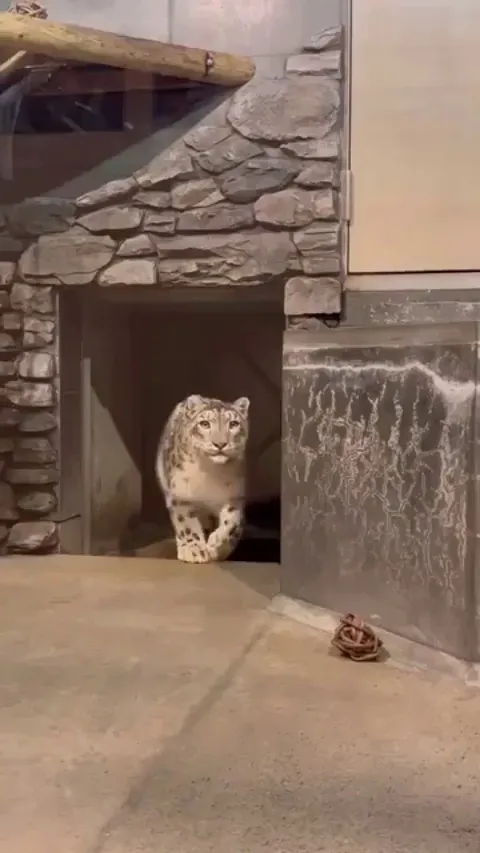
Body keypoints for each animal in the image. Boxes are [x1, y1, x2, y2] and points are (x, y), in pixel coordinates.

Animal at [155, 394, 250, 564]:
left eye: (233, 423)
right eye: (204, 423)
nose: (220, 444)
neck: (210, 473)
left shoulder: (234, 497)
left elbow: (232, 522)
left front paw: (216, 544)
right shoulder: (181, 496)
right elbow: (186, 524)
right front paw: (194, 550)